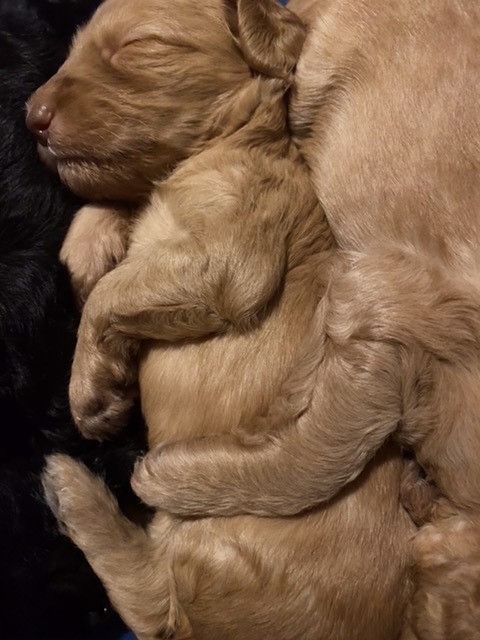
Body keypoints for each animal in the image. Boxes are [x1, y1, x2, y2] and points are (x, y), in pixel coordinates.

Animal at [27, 0, 416, 636]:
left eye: (139, 44)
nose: (31, 117)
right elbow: (109, 236)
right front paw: (90, 245)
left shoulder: (230, 255)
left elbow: (114, 291)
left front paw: (92, 389)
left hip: (217, 539)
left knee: (154, 598)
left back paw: (76, 490)